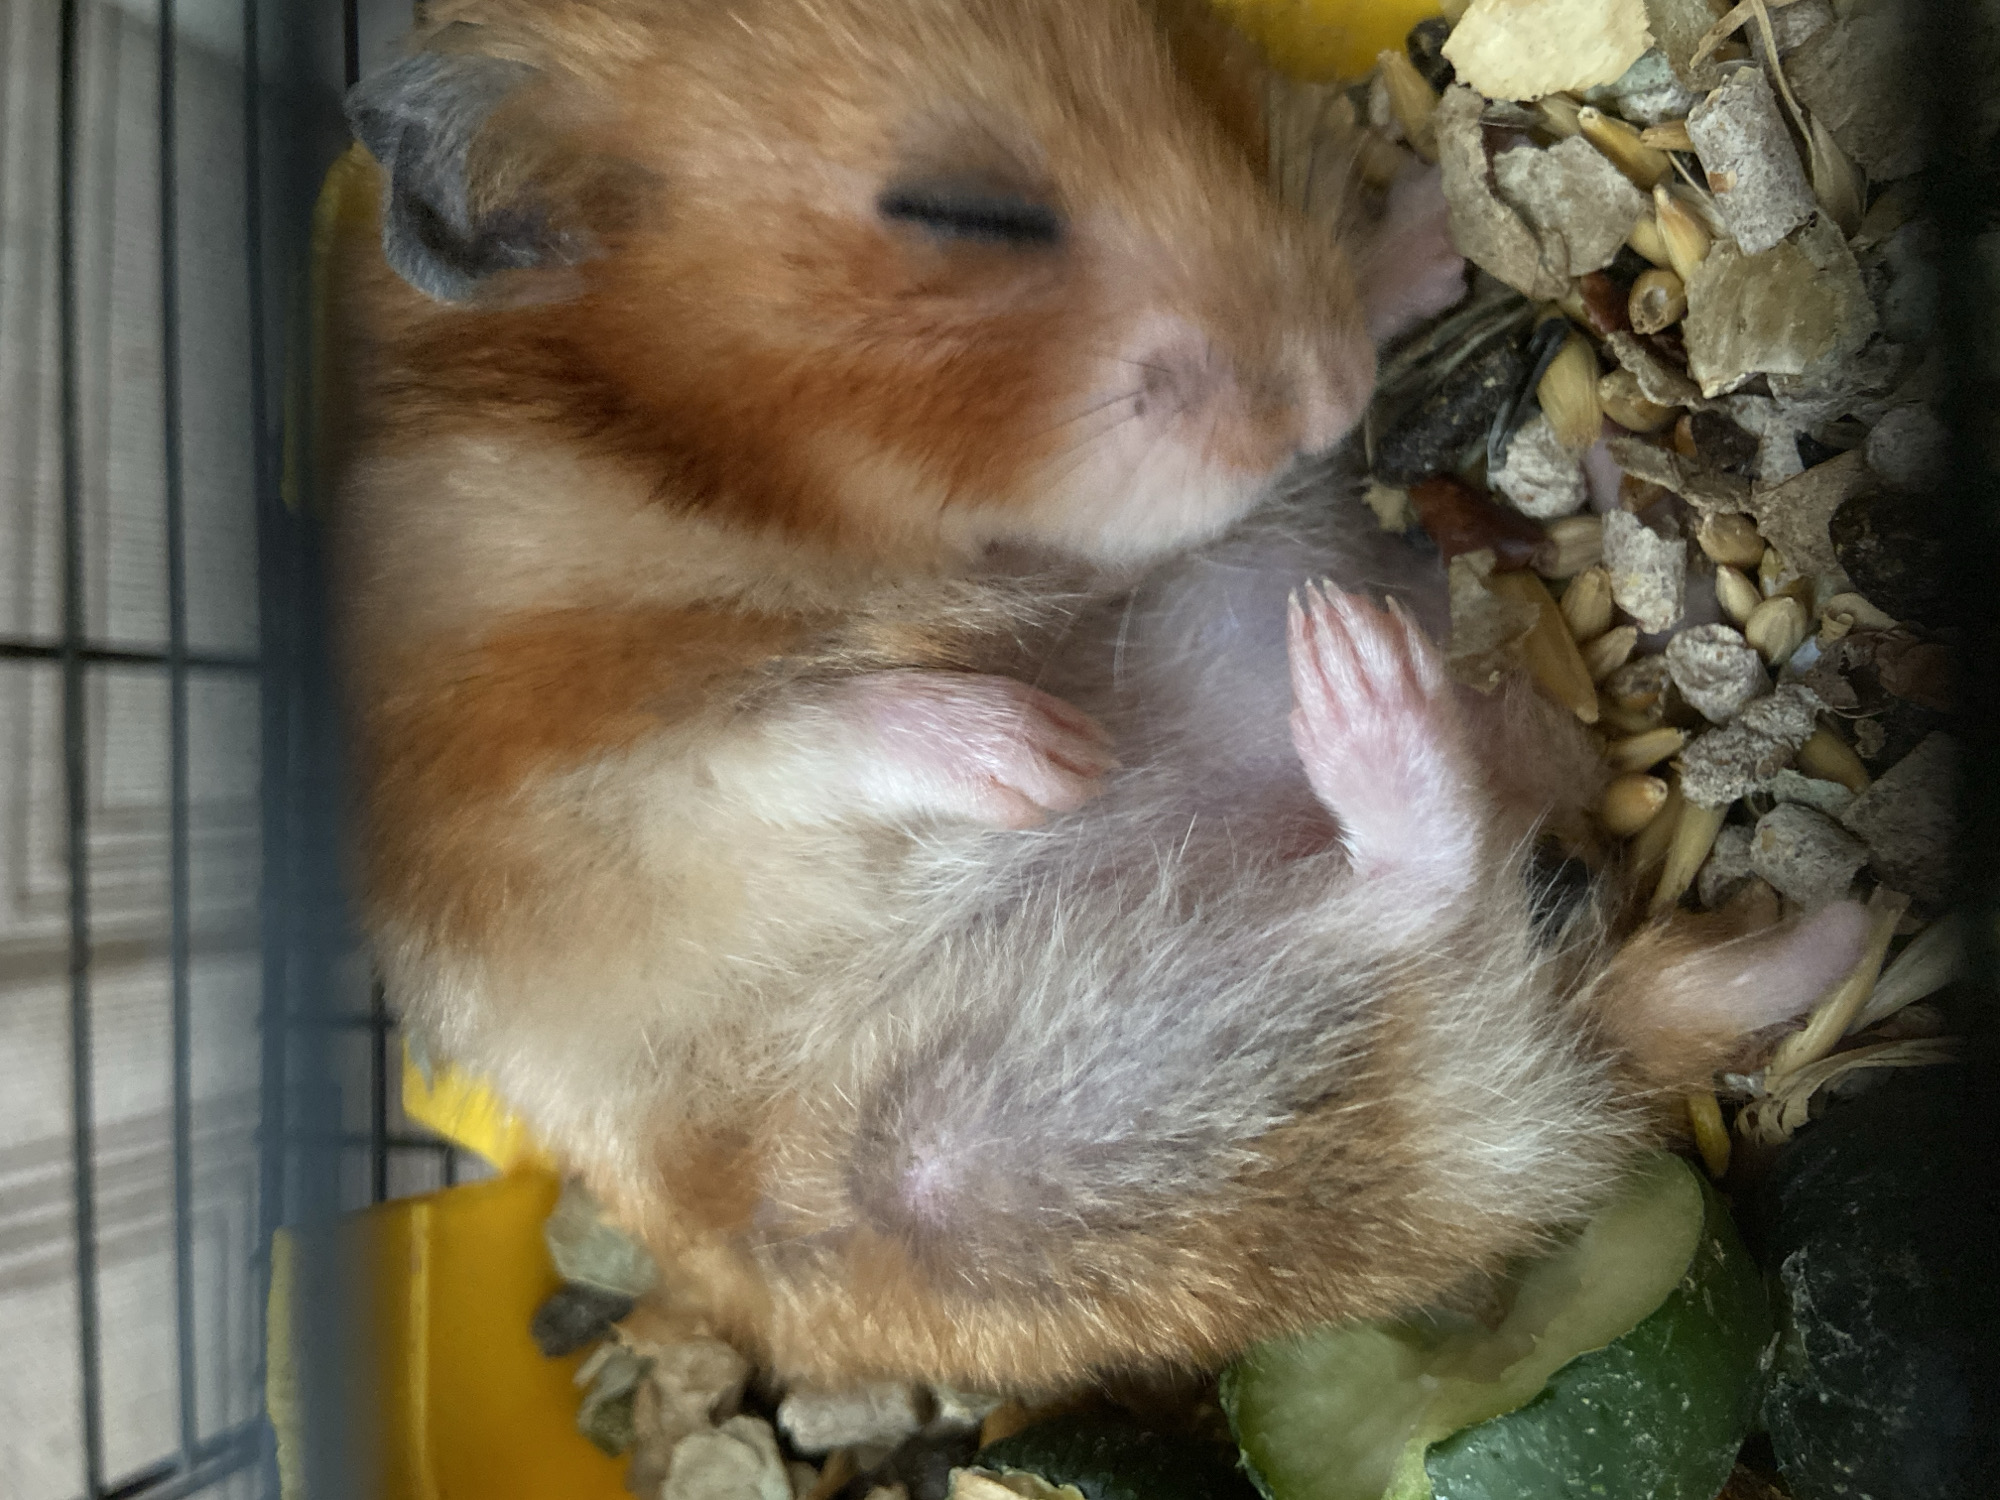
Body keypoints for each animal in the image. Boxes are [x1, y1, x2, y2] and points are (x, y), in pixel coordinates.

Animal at [330, 0, 1869, 1389]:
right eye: (965, 214)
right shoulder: (535, 805)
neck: (684, 461)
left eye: (1195, 89)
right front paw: (1041, 760)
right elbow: (775, 732)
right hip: (977, 1153)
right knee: (1428, 910)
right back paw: (1357, 691)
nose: (1329, 396)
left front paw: (1413, 241)